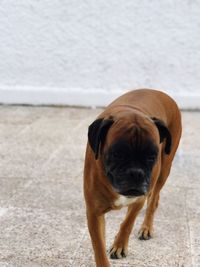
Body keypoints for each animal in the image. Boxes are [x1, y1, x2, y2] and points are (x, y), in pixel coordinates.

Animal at [83, 89, 182, 266]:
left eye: (151, 156)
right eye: (117, 154)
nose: (136, 172)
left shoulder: (139, 200)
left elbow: (128, 222)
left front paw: (119, 244)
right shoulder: (94, 213)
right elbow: (99, 248)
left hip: (163, 172)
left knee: (153, 201)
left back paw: (146, 227)